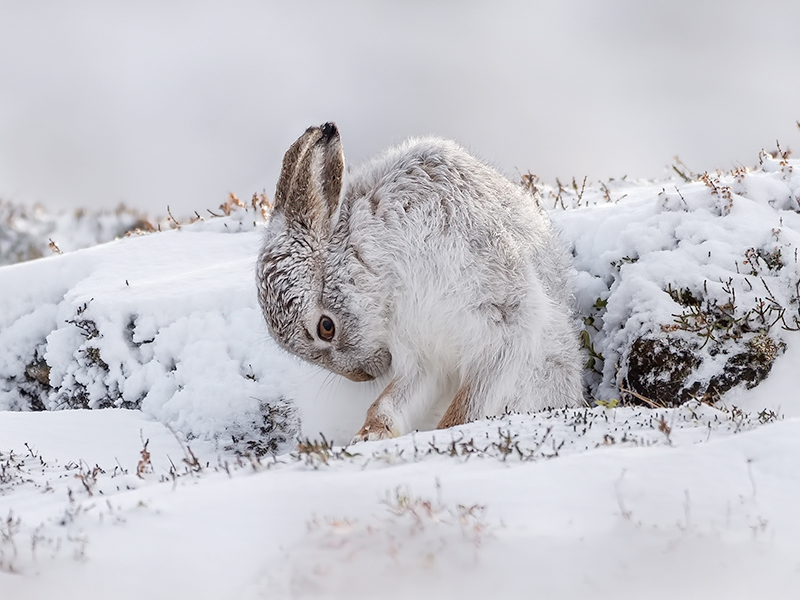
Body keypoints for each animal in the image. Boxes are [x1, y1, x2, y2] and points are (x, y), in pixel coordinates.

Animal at [256, 122, 583, 442]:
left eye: (326, 327)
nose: (363, 376)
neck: (383, 265)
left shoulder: (505, 319)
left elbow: (472, 399)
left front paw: (448, 429)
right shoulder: (420, 351)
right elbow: (392, 399)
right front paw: (370, 435)